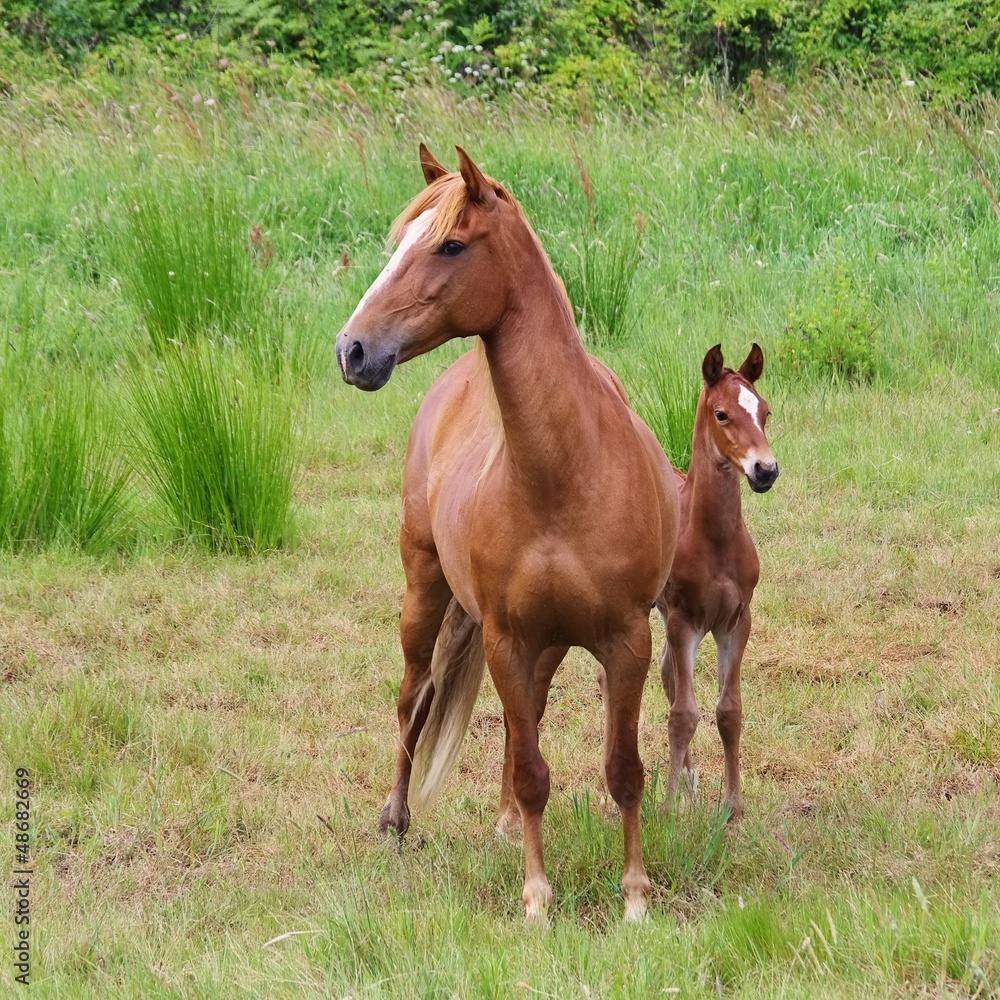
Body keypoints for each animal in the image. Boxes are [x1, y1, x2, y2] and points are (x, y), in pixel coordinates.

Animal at [335, 145, 679, 922]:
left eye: (450, 245)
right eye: (400, 242)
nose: (353, 350)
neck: (560, 476)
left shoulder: (625, 641)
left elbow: (623, 770)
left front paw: (635, 897)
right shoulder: (505, 639)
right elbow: (530, 772)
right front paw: (537, 898)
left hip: (543, 644)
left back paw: (497, 824)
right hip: (426, 591)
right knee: (414, 695)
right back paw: (396, 820)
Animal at [655, 343, 778, 821]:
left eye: (765, 411)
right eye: (722, 414)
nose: (766, 470)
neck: (714, 540)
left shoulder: (736, 622)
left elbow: (729, 711)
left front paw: (734, 807)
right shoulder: (684, 619)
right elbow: (683, 715)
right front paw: (667, 810)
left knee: (666, 675)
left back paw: (691, 780)